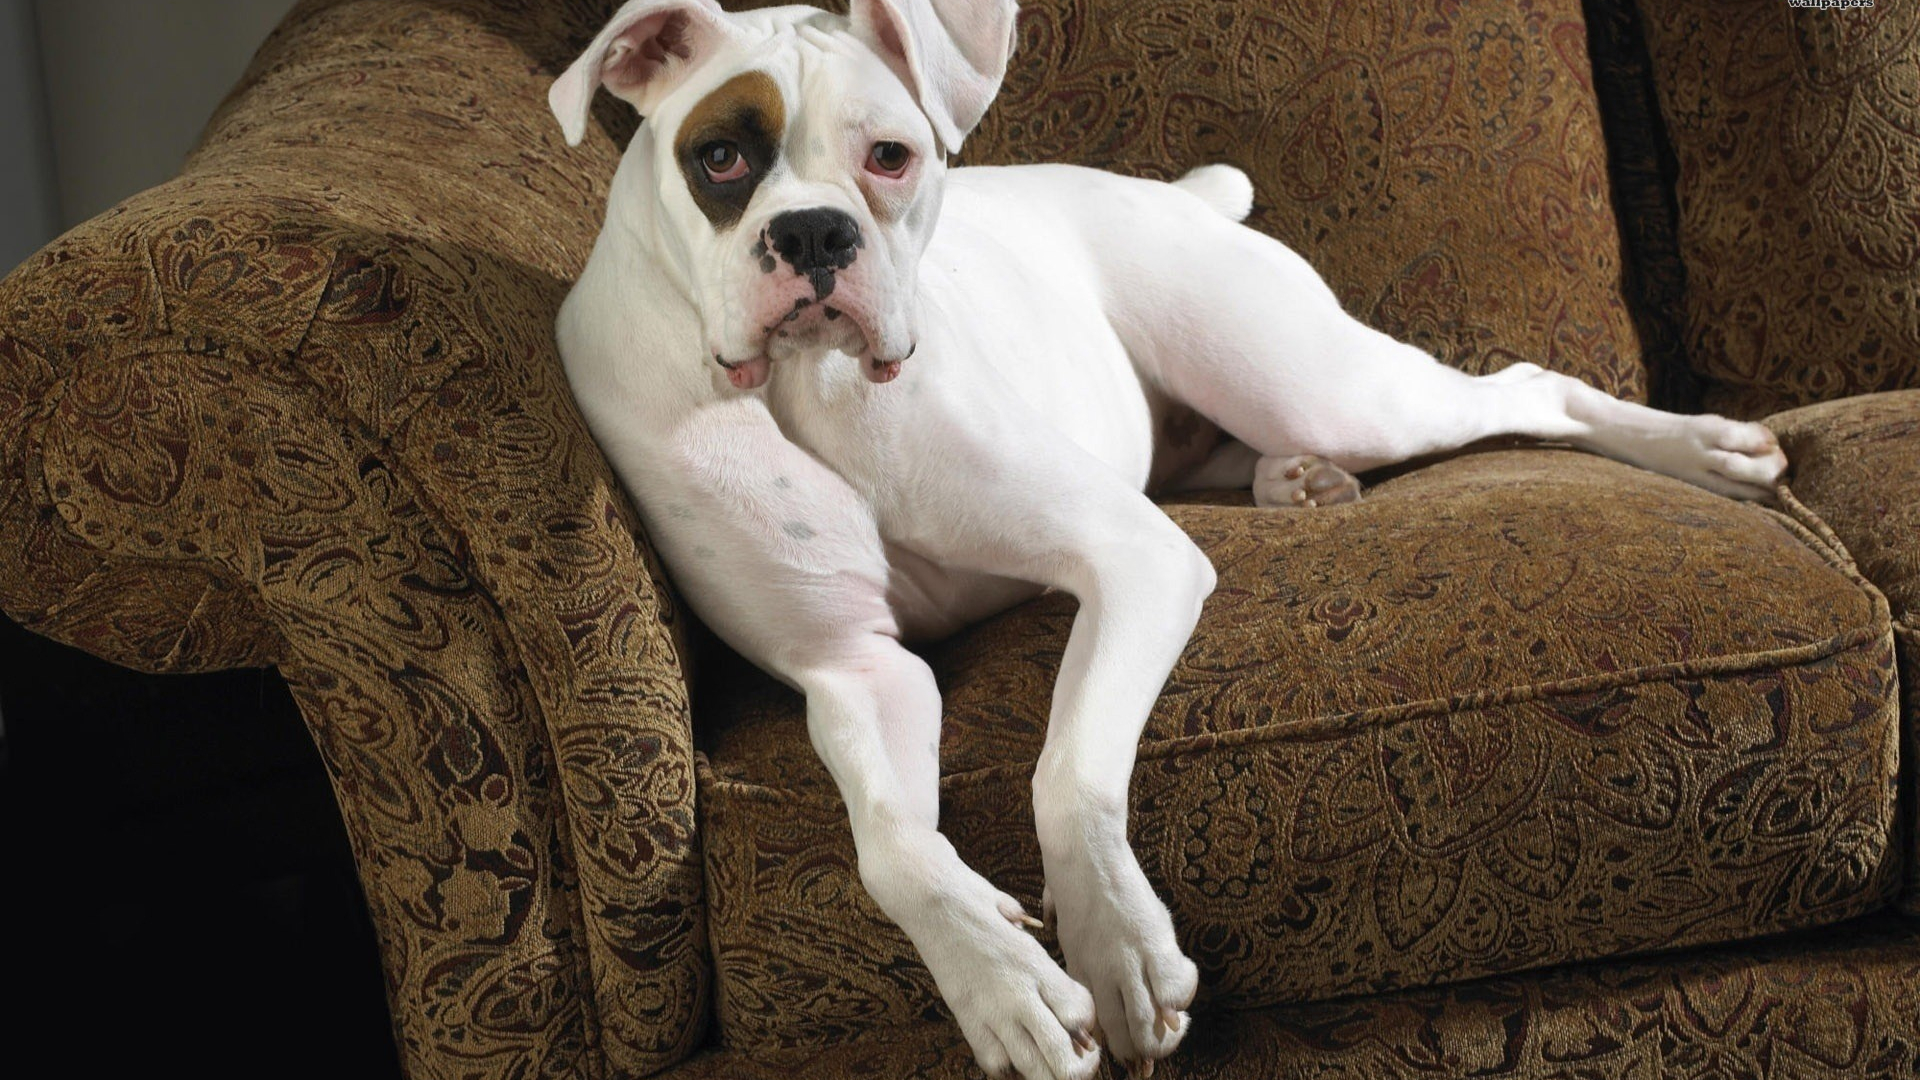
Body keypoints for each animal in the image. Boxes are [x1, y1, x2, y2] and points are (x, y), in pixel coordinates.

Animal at [548, 2, 1788, 1075]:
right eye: (720, 158)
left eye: (889, 157)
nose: (813, 232)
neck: (814, 384)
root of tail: (1179, 194)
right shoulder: (855, 671)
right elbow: (893, 847)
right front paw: (1004, 983)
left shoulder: (1131, 558)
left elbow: (1067, 770)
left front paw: (1117, 950)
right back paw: (1299, 482)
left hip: (1323, 383)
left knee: (1532, 386)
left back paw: (1710, 451)